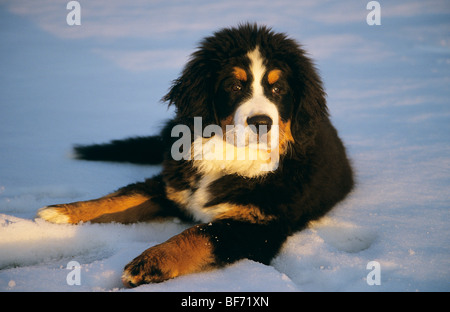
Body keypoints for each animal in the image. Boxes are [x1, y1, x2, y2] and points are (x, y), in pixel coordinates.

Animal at [37, 24, 356, 288]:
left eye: (278, 88)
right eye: (234, 86)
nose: (261, 122)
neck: (230, 155)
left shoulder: (258, 226)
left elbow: (199, 235)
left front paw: (149, 262)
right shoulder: (173, 184)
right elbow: (122, 198)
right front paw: (63, 212)